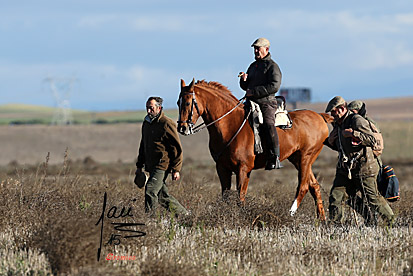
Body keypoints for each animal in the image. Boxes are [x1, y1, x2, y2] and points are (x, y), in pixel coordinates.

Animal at [175, 78, 334, 219]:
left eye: (188, 102)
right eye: (178, 102)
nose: (182, 128)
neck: (230, 125)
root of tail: (319, 116)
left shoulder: (243, 169)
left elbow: (240, 197)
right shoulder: (222, 168)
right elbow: (226, 196)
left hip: (305, 158)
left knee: (303, 187)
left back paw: (290, 213)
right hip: (297, 159)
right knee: (314, 186)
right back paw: (322, 220)